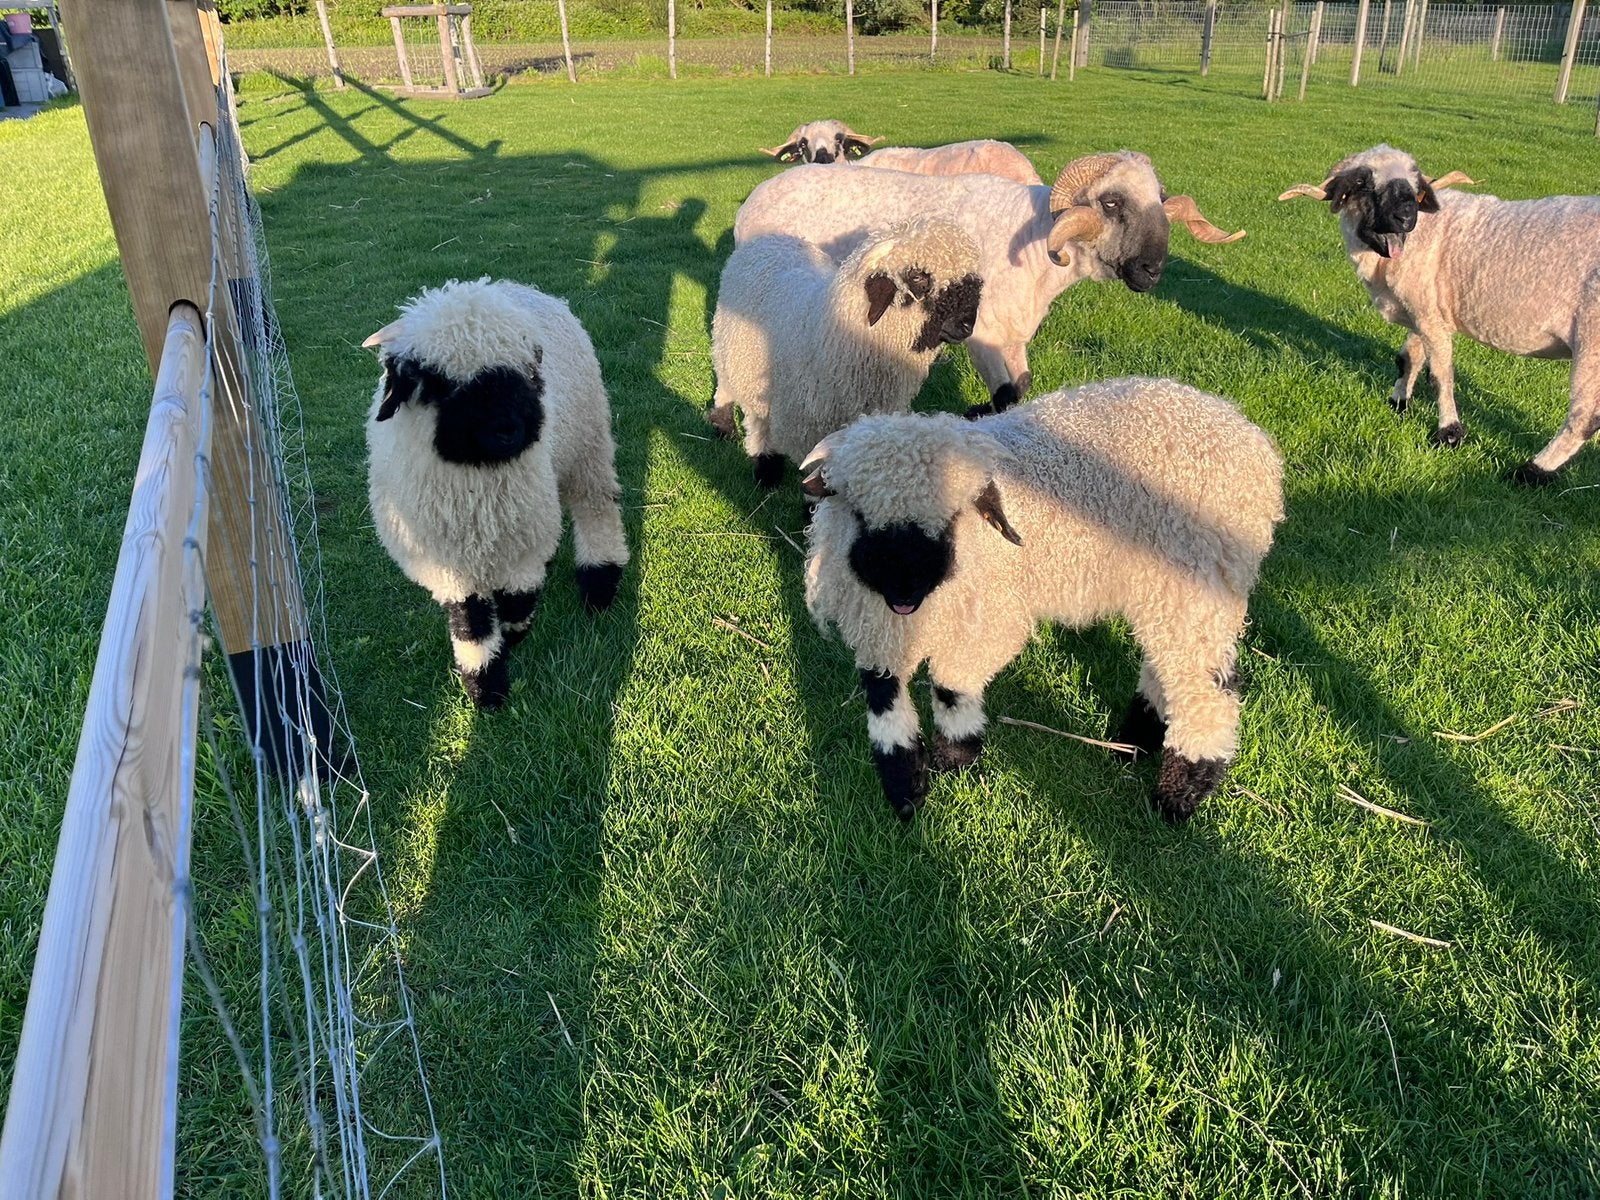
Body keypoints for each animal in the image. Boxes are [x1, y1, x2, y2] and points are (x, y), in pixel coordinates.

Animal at [363, 277, 629, 709]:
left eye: (525, 372)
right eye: (439, 383)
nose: (510, 430)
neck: (479, 491)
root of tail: (519, 287)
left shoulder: (523, 538)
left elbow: (517, 596)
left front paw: (515, 631)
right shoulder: (446, 564)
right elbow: (470, 622)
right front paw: (486, 687)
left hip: (588, 444)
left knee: (595, 505)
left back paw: (600, 583)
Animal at [707, 218, 983, 485]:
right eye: (918, 277)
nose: (967, 325)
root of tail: (769, 238)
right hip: (731, 349)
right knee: (734, 396)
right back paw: (731, 433)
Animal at [735, 151, 1244, 413]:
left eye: (1160, 198)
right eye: (1111, 203)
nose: (1152, 271)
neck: (1036, 246)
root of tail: (752, 201)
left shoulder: (1013, 335)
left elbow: (1022, 385)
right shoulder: (983, 333)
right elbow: (1005, 396)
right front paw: (977, 414)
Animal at [800, 377, 1284, 822]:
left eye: (950, 519)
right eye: (859, 514)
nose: (904, 589)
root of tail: (1246, 435)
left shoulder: (989, 619)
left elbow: (952, 687)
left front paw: (956, 757)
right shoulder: (879, 628)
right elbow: (883, 696)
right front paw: (903, 786)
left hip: (1198, 583)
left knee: (1205, 687)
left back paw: (1179, 794)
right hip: (1163, 590)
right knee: (1166, 664)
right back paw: (1133, 742)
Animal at [1280, 144, 1600, 481]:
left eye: (1414, 185)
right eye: (1363, 184)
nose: (1406, 217)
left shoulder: (1431, 317)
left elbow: (1440, 376)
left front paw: (1449, 434)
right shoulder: (1421, 311)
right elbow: (1407, 358)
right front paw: (1398, 402)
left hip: (1591, 338)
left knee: (1584, 416)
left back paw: (1532, 471)